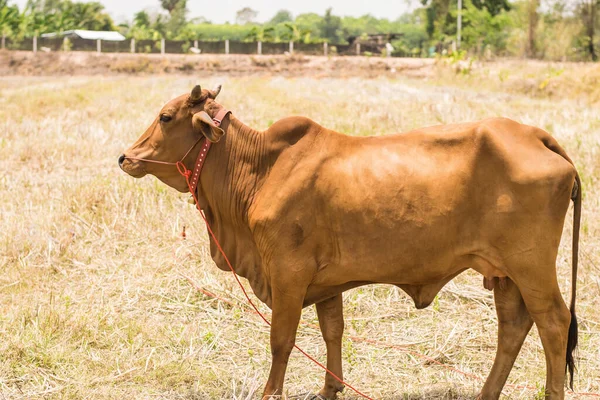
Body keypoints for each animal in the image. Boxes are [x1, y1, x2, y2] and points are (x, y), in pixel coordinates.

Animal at [118, 84, 580, 400]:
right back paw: (486, 393)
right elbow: (332, 331)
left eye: (165, 117)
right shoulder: (326, 283)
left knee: (554, 322)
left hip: (531, 266)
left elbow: (281, 340)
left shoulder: (288, 274)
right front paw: (329, 389)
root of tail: (535, 135)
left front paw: (271, 393)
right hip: (504, 274)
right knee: (513, 326)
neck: (260, 168)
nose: (125, 157)